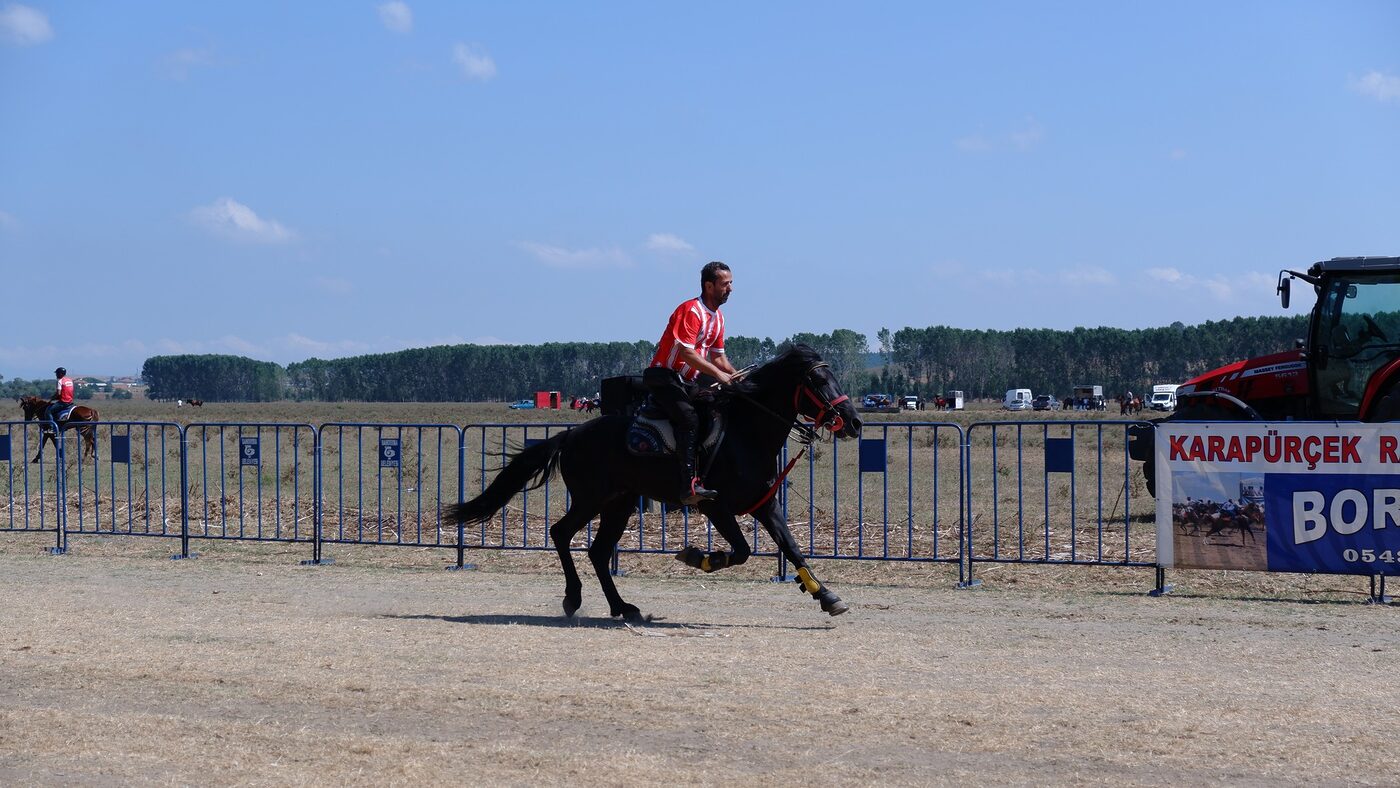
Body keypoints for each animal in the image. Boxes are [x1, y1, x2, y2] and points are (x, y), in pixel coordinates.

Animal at [442, 345, 856, 624]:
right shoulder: (714, 505)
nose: (852, 421)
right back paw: (574, 599)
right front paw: (698, 556)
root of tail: (571, 435)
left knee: (597, 551)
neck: (746, 433)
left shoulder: (765, 504)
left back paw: (622, 607)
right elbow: (740, 551)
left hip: (620, 503)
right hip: (592, 498)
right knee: (561, 533)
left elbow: (792, 546)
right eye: (818, 380)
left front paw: (826, 595)